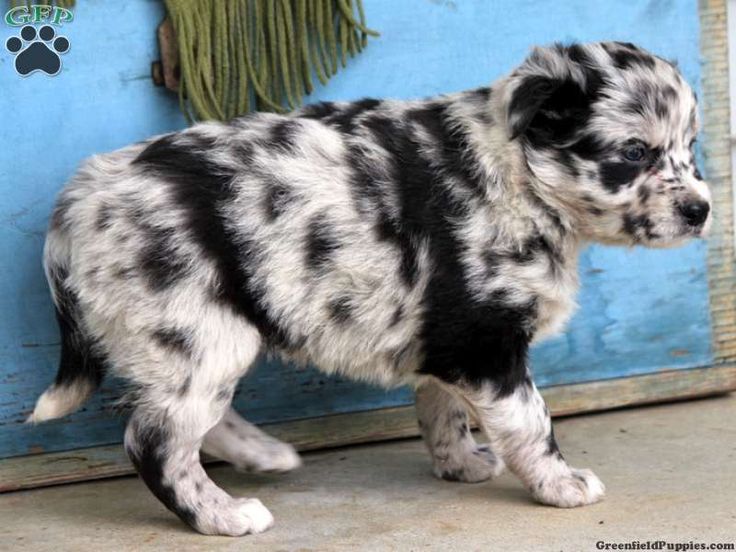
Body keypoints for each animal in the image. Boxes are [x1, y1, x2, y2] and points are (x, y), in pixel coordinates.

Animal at [31, 42, 712, 536]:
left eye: (690, 147)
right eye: (635, 152)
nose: (702, 211)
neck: (520, 175)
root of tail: (77, 203)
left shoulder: (447, 338)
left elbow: (441, 404)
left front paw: (460, 463)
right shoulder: (484, 340)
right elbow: (529, 418)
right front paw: (562, 485)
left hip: (209, 340)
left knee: (194, 419)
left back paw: (263, 456)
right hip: (197, 334)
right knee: (157, 441)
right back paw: (224, 516)